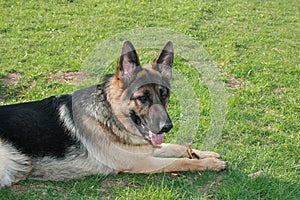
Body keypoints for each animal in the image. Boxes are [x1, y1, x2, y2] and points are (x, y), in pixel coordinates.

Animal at [0, 40, 225, 188]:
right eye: (142, 98)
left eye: (164, 95)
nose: (167, 127)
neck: (111, 115)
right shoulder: (140, 162)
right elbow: (181, 161)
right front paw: (209, 163)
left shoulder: (145, 149)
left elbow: (175, 147)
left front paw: (205, 153)